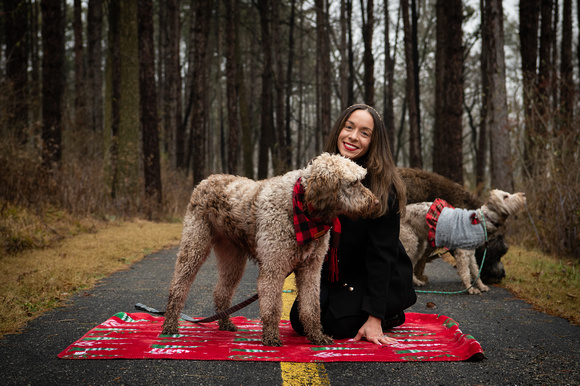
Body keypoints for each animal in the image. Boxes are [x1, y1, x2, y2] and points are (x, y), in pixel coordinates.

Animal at [160, 154, 376, 346]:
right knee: (178, 287)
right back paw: (170, 325)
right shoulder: (274, 268)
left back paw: (225, 323)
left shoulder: (310, 269)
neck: (303, 210)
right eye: (354, 182)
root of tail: (207, 180)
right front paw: (271, 337)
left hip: (232, 257)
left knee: (221, 292)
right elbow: (272, 307)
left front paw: (316, 336)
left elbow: (311, 307)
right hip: (194, 246)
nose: (375, 203)